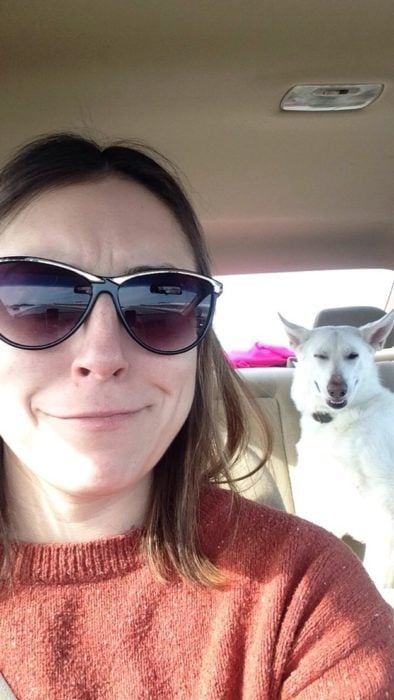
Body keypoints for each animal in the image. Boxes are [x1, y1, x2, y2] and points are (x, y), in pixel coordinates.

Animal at [280, 308, 394, 604]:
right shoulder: (324, 512)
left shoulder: (384, 517)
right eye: (320, 356)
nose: (337, 390)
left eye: (352, 355)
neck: (338, 421)